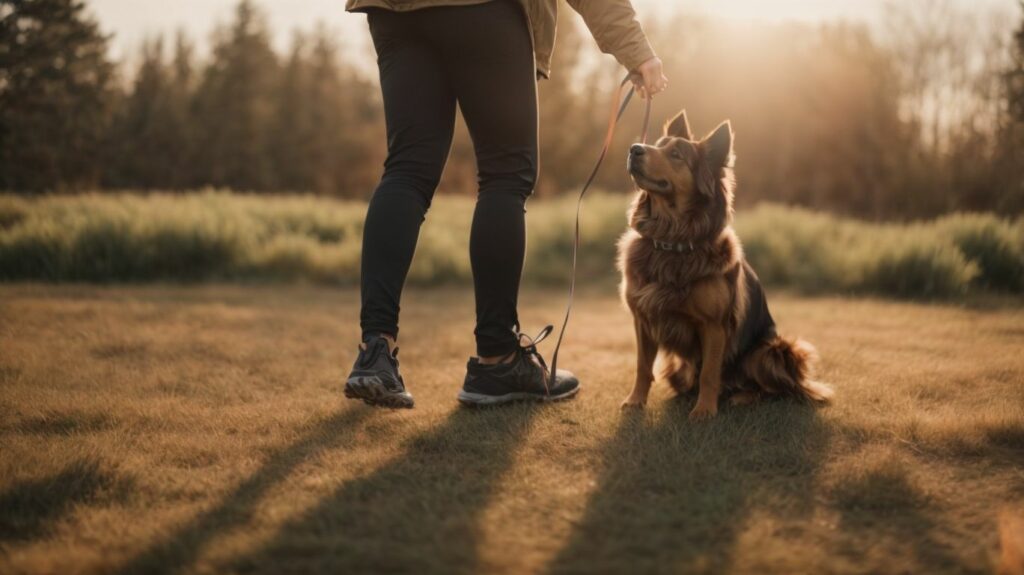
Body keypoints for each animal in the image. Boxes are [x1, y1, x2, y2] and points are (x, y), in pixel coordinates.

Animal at [614, 109, 831, 419]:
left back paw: (742, 396)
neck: (673, 242)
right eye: (658, 144)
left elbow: (709, 372)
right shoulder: (643, 318)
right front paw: (635, 401)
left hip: (775, 350)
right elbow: (642, 366)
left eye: (676, 154)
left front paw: (704, 411)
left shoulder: (714, 326)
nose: (634, 149)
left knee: (773, 390)